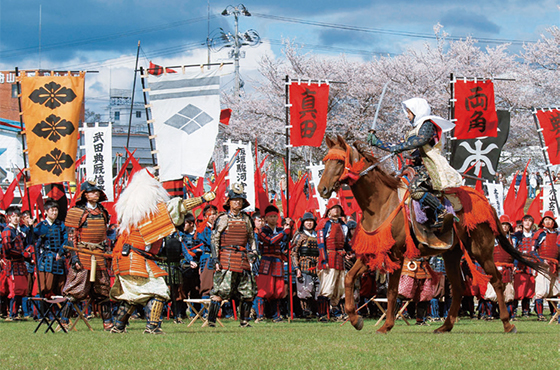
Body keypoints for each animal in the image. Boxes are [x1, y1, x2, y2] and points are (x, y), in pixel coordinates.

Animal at [318, 137, 544, 336]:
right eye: (325, 160)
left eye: (339, 161)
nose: (322, 189)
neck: (381, 204)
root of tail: (485, 202)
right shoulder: (374, 252)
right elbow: (349, 278)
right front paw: (356, 320)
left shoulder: (397, 255)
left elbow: (392, 291)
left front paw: (386, 326)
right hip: (451, 254)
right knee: (458, 288)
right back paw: (445, 326)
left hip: (480, 250)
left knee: (496, 280)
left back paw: (508, 324)